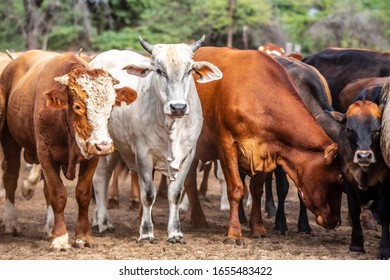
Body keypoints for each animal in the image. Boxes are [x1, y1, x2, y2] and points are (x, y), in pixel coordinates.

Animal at [0, 49, 137, 250]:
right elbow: (58, 194)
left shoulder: (92, 157)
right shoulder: (45, 156)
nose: (104, 145)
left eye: (111, 106)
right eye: (78, 106)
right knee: (11, 176)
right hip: (9, 140)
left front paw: (82, 237)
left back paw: (49, 226)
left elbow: (82, 194)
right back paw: (10, 223)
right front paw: (60, 238)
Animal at [184, 47, 342, 244]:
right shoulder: (227, 144)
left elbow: (257, 190)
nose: (336, 221)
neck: (259, 97)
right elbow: (236, 189)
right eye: (339, 178)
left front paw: (257, 228)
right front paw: (234, 232)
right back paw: (198, 218)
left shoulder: (267, 151)